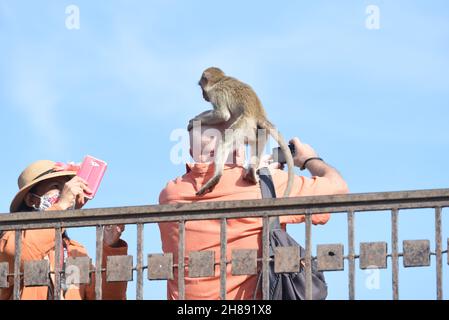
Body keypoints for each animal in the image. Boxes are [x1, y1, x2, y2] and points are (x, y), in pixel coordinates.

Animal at [188, 67, 296, 198]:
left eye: (201, 86)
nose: (203, 95)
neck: (220, 80)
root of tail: (259, 115)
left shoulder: (216, 93)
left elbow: (223, 115)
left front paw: (195, 120)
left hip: (245, 125)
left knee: (226, 138)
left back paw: (217, 176)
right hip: (257, 130)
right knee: (260, 139)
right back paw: (251, 172)